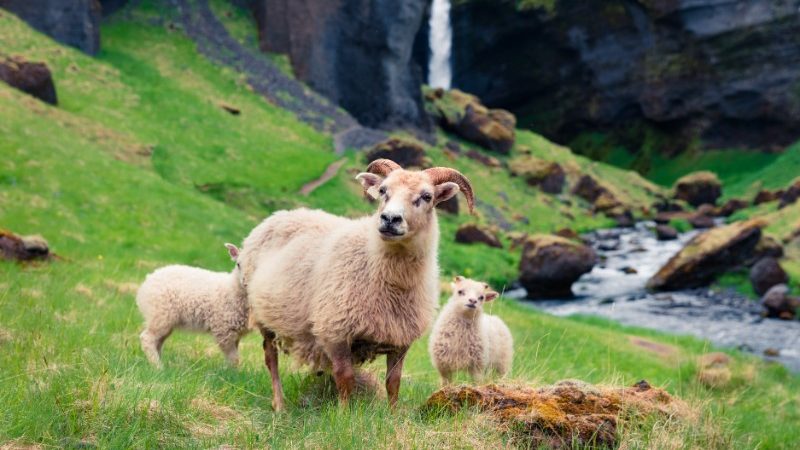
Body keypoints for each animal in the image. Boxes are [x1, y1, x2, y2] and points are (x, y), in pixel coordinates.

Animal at [238, 159, 476, 412]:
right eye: (383, 191)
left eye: (427, 196)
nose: (390, 219)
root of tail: (278, 215)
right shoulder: (335, 331)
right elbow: (345, 378)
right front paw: (343, 414)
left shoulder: (400, 339)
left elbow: (393, 382)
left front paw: (392, 415)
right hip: (262, 315)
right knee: (270, 358)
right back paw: (280, 404)